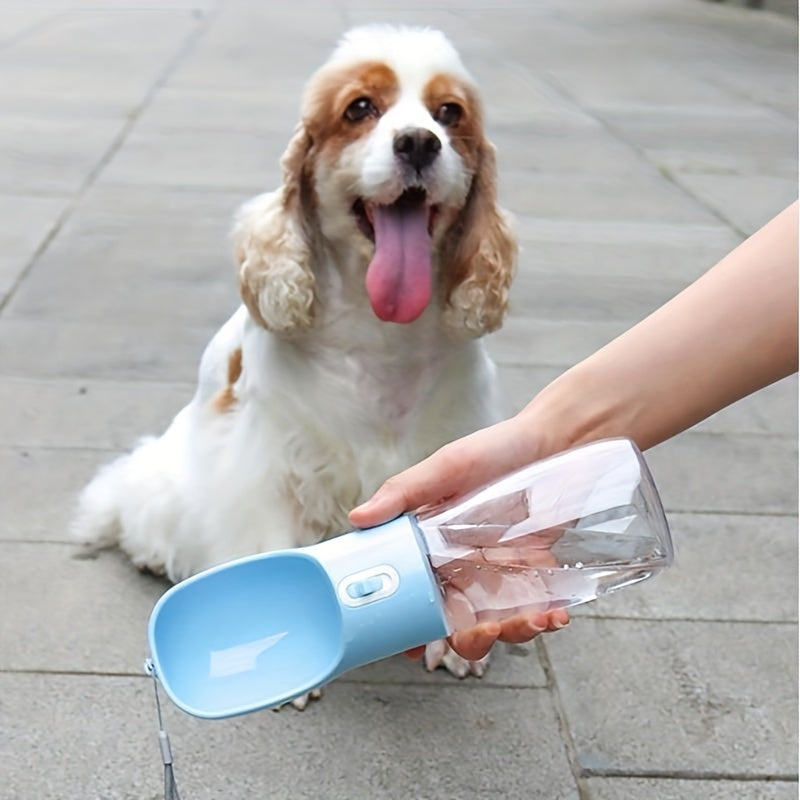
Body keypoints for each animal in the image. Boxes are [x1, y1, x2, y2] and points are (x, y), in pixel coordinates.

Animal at [72, 25, 516, 700]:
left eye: (449, 113)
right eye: (360, 109)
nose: (418, 142)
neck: (380, 330)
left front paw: (457, 641)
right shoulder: (271, 461)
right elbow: (269, 535)